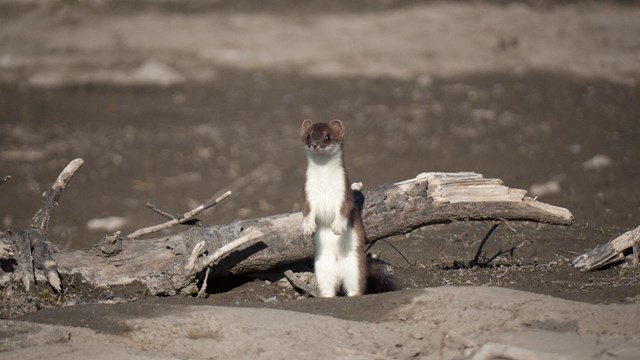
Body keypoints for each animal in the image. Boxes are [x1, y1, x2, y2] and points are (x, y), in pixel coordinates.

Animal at [300, 119, 364, 296]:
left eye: (327, 136)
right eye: (308, 135)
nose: (314, 143)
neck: (324, 185)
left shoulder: (343, 192)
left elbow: (344, 210)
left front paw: (337, 227)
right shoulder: (308, 193)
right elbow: (307, 211)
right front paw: (307, 227)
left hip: (356, 268)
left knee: (355, 288)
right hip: (322, 270)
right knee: (328, 288)